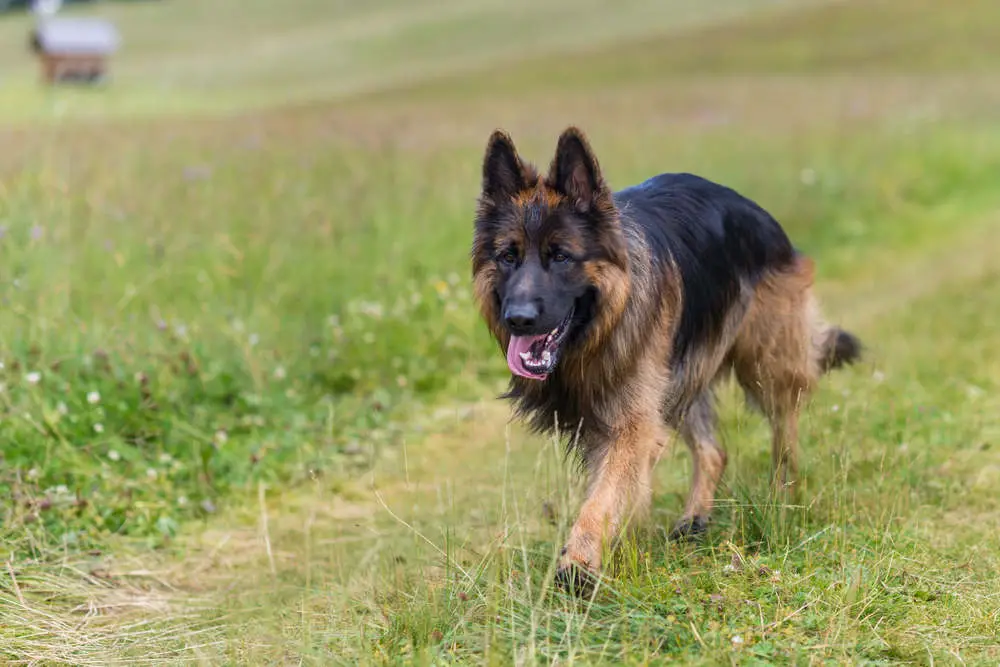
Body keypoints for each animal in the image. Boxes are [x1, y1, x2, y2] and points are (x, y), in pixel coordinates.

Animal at [470, 128, 860, 588]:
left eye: (561, 256)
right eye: (507, 256)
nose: (518, 318)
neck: (595, 335)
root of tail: (753, 209)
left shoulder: (632, 425)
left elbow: (603, 496)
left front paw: (578, 563)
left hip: (765, 365)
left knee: (785, 433)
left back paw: (783, 496)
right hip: (680, 377)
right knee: (714, 451)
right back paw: (695, 518)